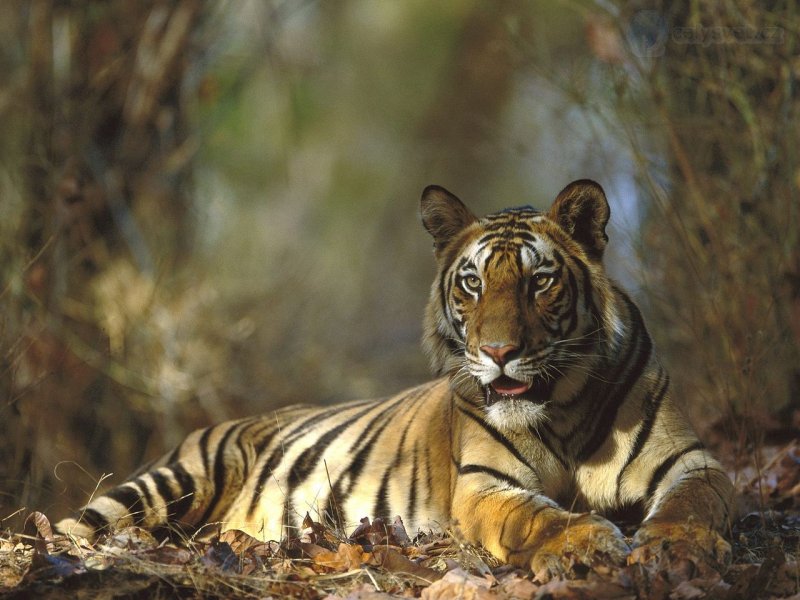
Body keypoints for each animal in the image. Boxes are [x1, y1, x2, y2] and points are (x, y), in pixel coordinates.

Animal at [54, 180, 732, 576]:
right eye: (472, 282)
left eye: (540, 281)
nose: (499, 352)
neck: (561, 408)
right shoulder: (484, 486)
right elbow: (540, 517)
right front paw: (590, 542)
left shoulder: (691, 461)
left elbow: (695, 503)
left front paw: (675, 546)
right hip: (168, 483)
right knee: (72, 530)